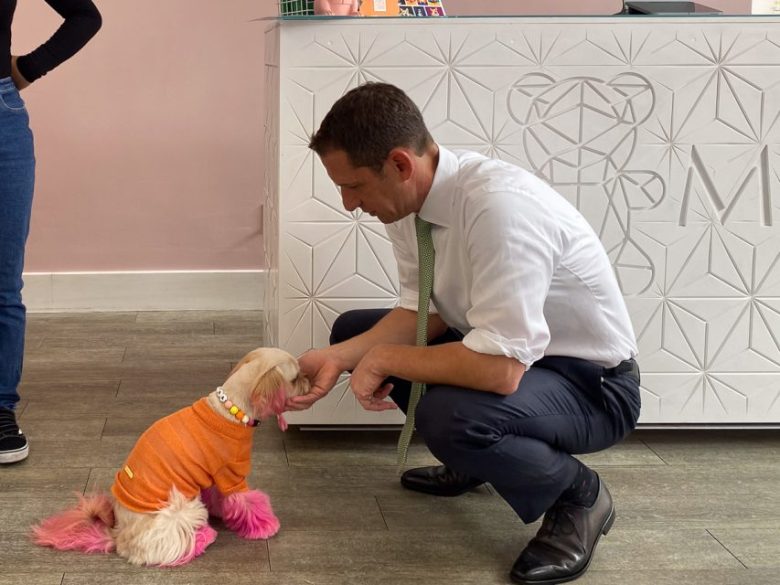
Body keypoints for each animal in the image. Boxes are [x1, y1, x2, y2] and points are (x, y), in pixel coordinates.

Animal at [30, 346, 310, 564]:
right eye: (296, 378)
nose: (309, 378)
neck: (229, 409)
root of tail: (118, 536)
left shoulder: (212, 475)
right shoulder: (232, 475)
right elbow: (249, 503)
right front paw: (265, 526)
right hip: (181, 510)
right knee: (177, 543)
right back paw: (204, 537)